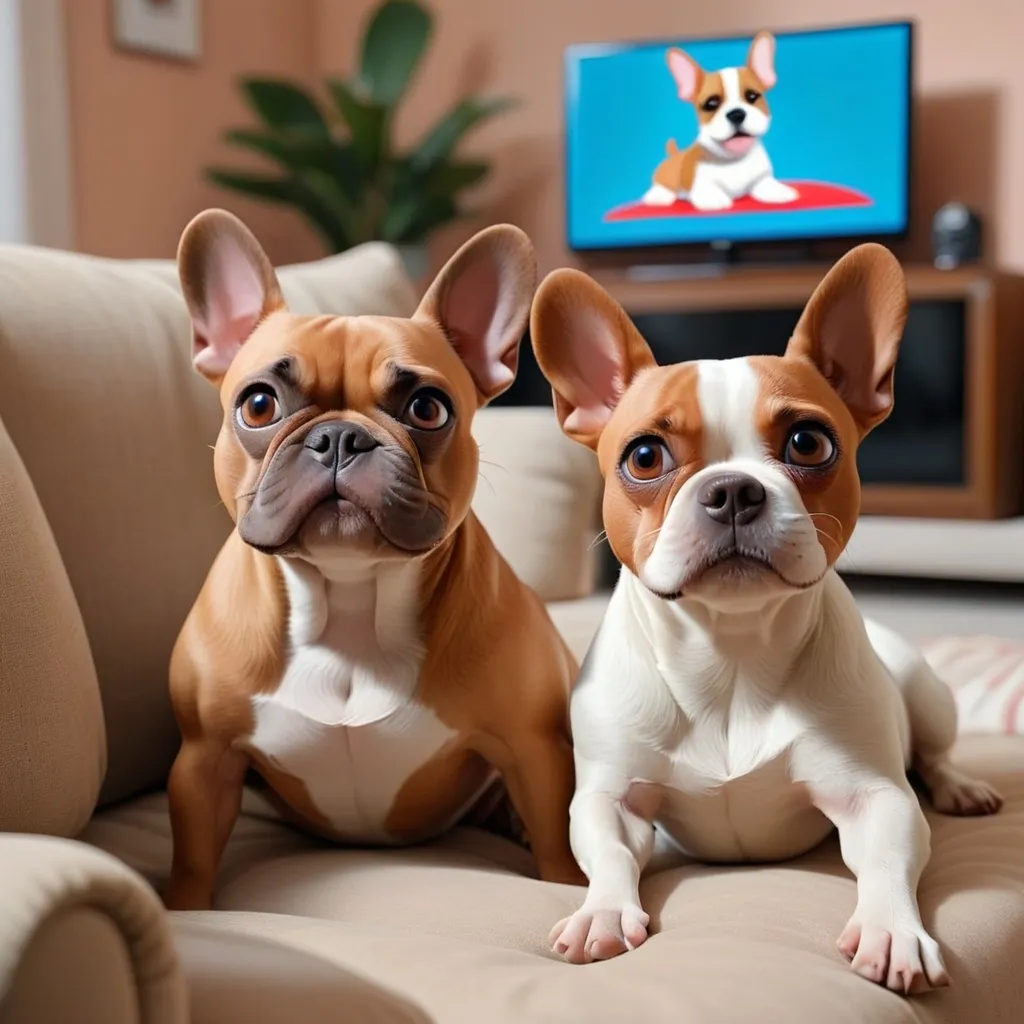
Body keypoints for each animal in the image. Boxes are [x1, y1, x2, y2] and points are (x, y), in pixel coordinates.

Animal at [165, 209, 585, 913]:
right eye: (258, 404)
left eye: (428, 409)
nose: (340, 436)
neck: (349, 596)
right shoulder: (205, 761)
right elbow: (193, 865)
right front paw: (185, 910)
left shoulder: (534, 753)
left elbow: (561, 848)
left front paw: (576, 891)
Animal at [532, 245, 1003, 991]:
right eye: (644, 456)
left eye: (809, 443)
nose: (732, 490)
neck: (731, 652)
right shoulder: (609, 798)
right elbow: (609, 852)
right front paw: (600, 912)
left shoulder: (877, 798)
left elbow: (889, 861)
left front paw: (893, 931)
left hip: (926, 691)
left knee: (935, 753)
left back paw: (962, 787)